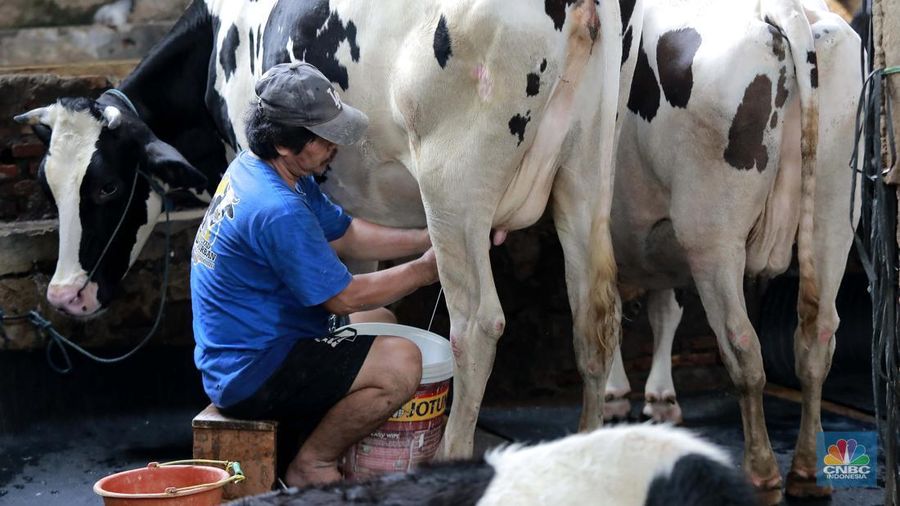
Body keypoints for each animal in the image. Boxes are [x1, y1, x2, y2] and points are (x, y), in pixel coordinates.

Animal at [14, 0, 636, 458]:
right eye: (47, 185)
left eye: (106, 187)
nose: (64, 295)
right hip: (587, 167)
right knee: (594, 315)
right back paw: (590, 442)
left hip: (453, 182)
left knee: (477, 324)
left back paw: (451, 455)